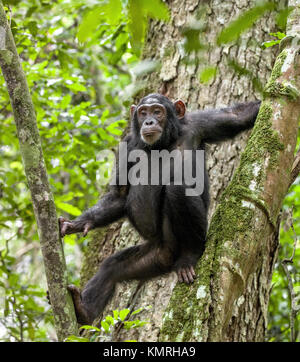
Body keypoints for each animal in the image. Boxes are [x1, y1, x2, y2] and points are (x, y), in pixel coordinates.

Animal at [59, 93, 260, 326]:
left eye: (157, 111)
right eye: (143, 112)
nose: (148, 122)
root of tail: (169, 258)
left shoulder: (201, 123)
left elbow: (239, 115)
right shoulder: (127, 145)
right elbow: (120, 196)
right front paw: (79, 223)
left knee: (178, 188)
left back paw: (190, 256)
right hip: (153, 257)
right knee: (111, 269)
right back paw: (83, 309)